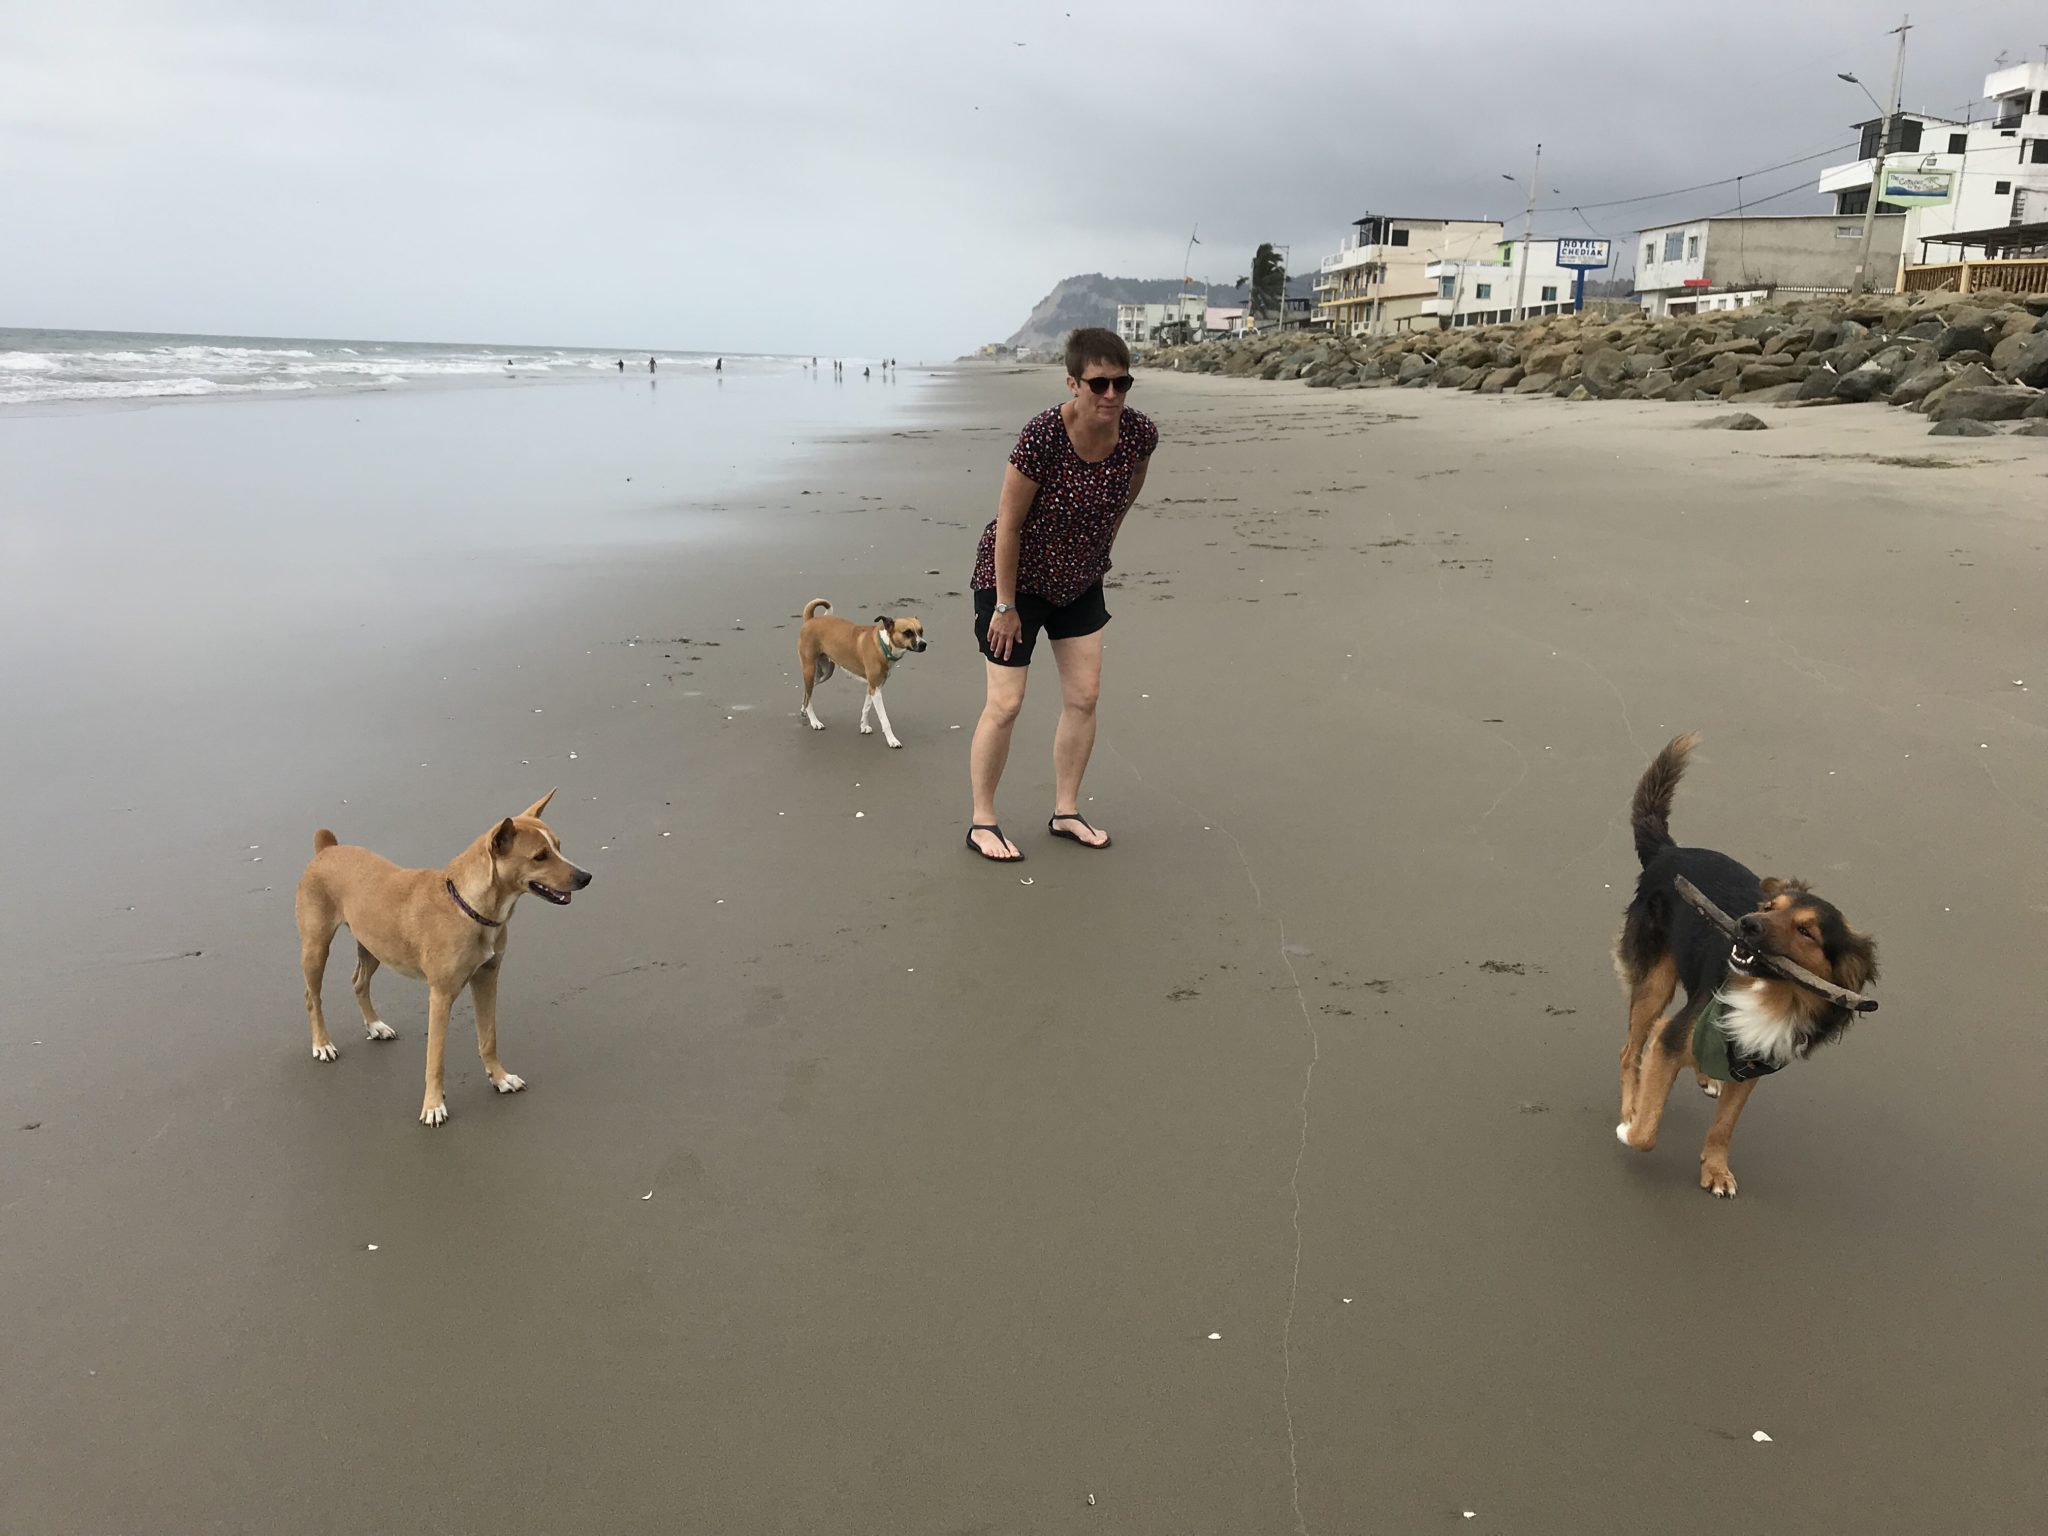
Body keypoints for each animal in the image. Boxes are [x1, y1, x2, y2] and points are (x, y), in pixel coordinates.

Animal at [292, 794, 593, 1130]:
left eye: (558, 846)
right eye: (540, 856)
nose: (586, 877)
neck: (467, 906)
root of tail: (327, 848)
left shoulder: (487, 979)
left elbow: (488, 1037)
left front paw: (500, 1078)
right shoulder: (441, 996)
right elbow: (435, 1059)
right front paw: (433, 1105)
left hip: (374, 946)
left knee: (359, 982)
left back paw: (375, 1025)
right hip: (316, 948)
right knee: (312, 996)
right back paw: (322, 1043)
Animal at [798, 598, 929, 749]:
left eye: (921, 631)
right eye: (908, 632)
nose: (924, 644)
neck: (883, 645)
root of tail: (810, 620)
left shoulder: (873, 687)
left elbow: (866, 708)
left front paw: (864, 726)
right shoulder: (875, 689)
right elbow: (884, 719)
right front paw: (892, 740)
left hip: (824, 673)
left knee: (807, 691)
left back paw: (804, 710)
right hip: (809, 669)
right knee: (809, 697)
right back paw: (814, 721)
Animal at [1605, 737, 1875, 1204]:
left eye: (1805, 930)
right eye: (1769, 908)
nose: (1746, 924)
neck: (1771, 994)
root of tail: (1669, 850)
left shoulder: (1754, 1063)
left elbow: (1724, 1125)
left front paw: (1715, 1169)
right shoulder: (1672, 1040)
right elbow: (1647, 1131)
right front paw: (1632, 1124)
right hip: (1655, 982)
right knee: (1631, 1050)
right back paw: (1629, 1104)